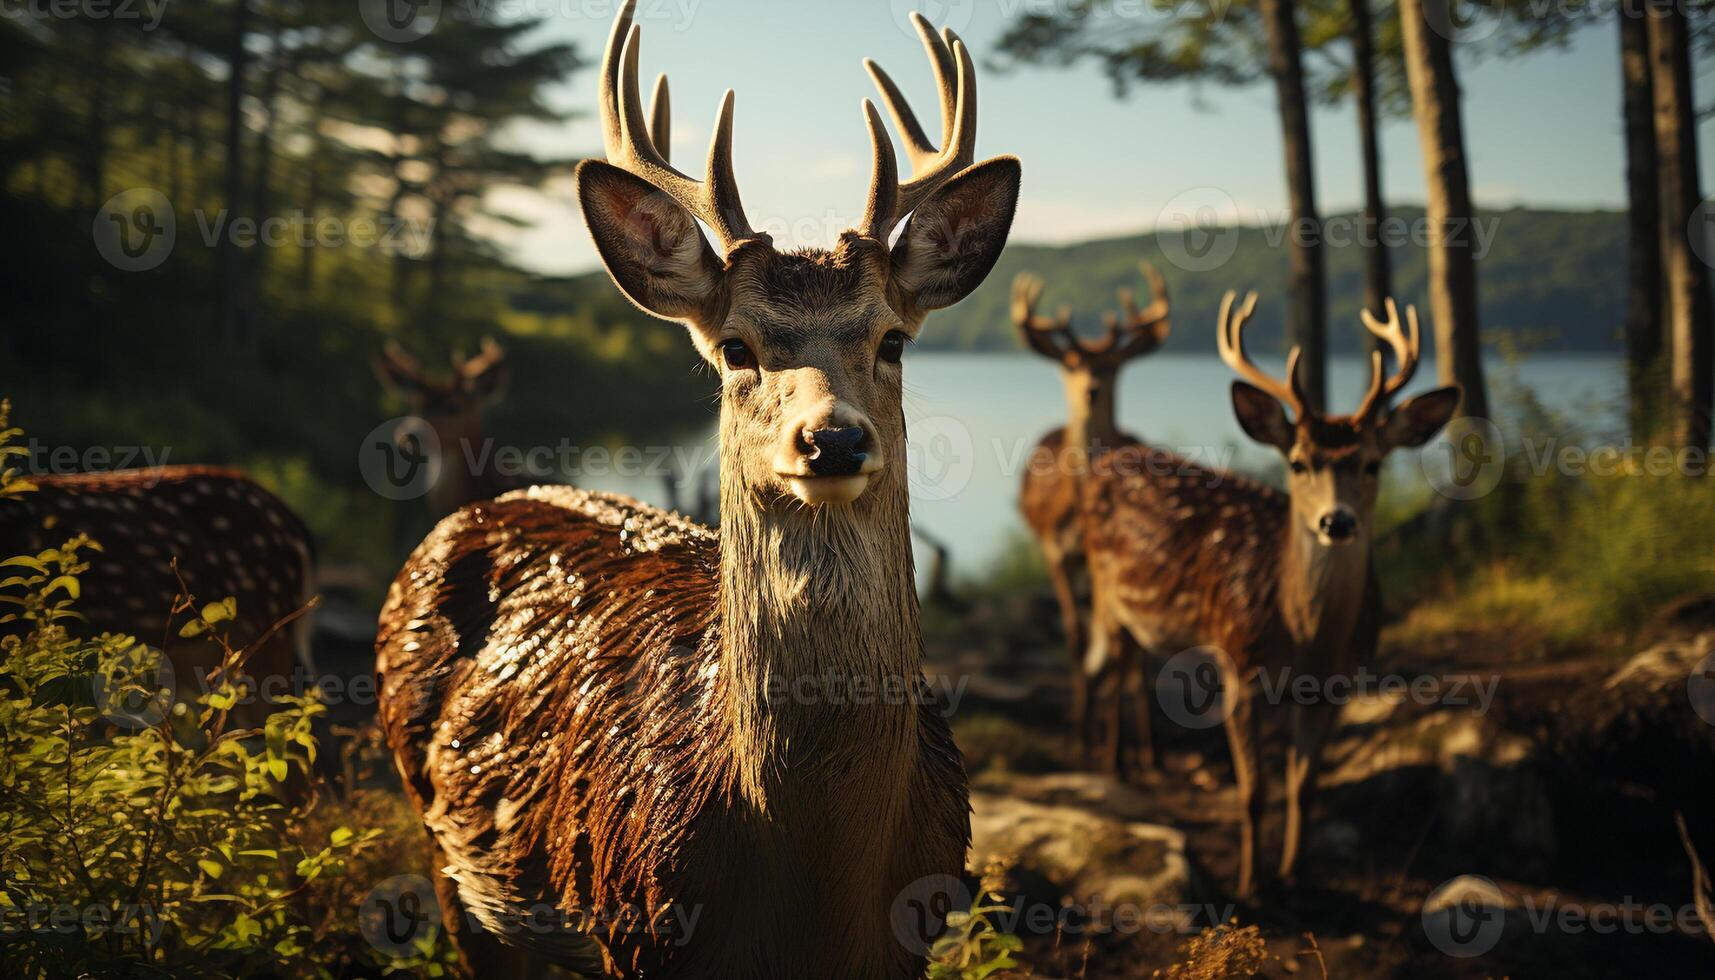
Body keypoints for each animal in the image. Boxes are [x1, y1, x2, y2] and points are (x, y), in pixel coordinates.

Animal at [1008, 259, 1173, 775]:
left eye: (1113, 363)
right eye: (1071, 362)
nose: (1092, 388)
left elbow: (1123, 650)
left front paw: (1125, 753)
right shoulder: (1052, 549)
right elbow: (1077, 638)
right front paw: (1082, 739)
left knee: (1129, 650)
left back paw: (1143, 746)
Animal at [1077, 293, 1454, 899]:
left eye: (1372, 462)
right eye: (1298, 462)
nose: (1336, 522)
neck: (1305, 638)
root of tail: (1105, 460)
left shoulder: (1335, 688)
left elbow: (1304, 788)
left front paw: (1295, 875)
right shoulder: (1238, 663)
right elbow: (1253, 793)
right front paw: (1249, 885)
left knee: (1134, 667)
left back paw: (1145, 762)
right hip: (1105, 593)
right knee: (1113, 668)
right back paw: (1115, 768)